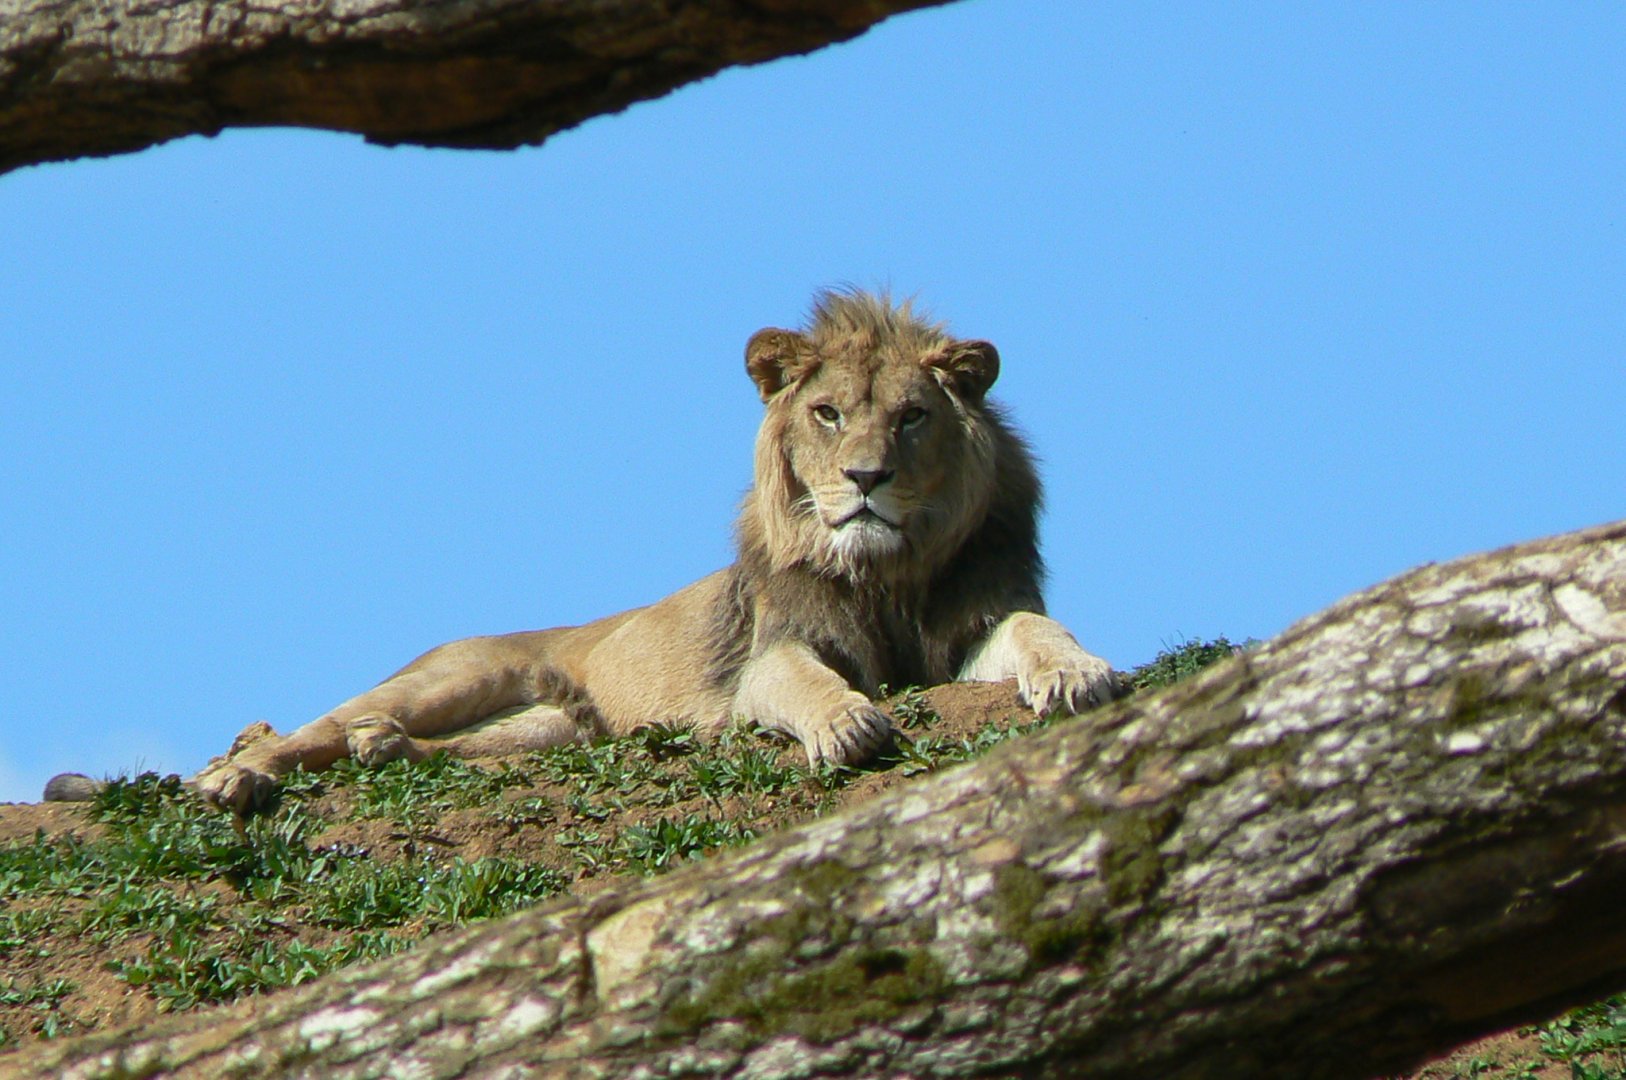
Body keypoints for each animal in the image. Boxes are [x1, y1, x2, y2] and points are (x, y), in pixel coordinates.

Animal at [52, 290, 1119, 811]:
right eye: (827, 414)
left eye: (909, 418)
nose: (865, 480)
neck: (886, 569)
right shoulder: (771, 655)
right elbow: (807, 683)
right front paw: (847, 723)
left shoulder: (976, 622)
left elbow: (1036, 632)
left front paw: (1079, 673)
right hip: (450, 674)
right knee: (303, 732)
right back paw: (238, 775)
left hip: (559, 730)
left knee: (443, 753)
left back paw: (382, 751)